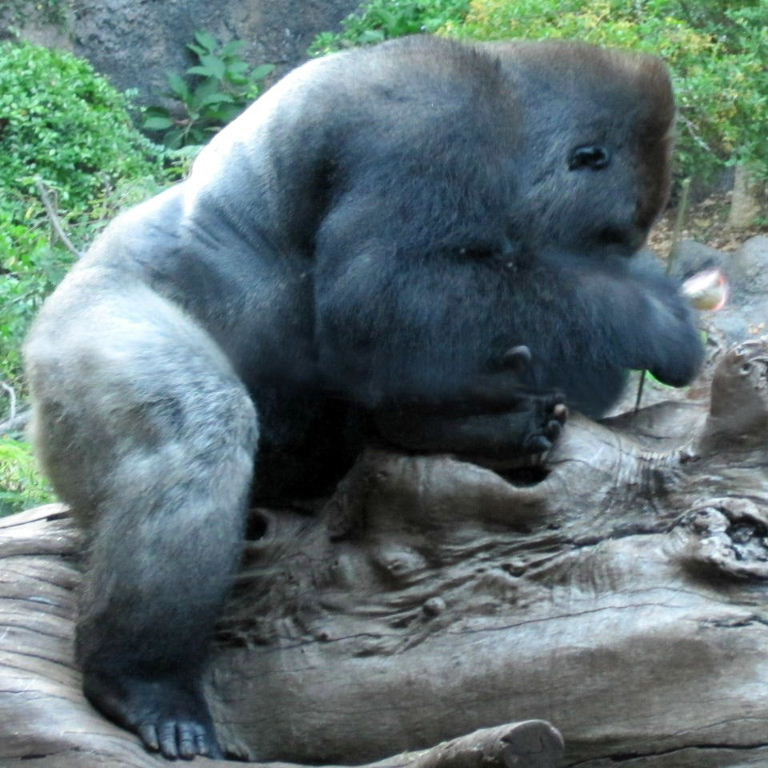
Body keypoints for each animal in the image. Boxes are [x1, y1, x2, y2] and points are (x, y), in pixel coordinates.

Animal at [23, 35, 703, 760]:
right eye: (609, 239)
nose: (621, 261)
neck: (514, 114)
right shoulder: (437, 130)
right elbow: (378, 298)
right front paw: (639, 311)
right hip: (74, 346)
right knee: (197, 432)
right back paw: (141, 680)